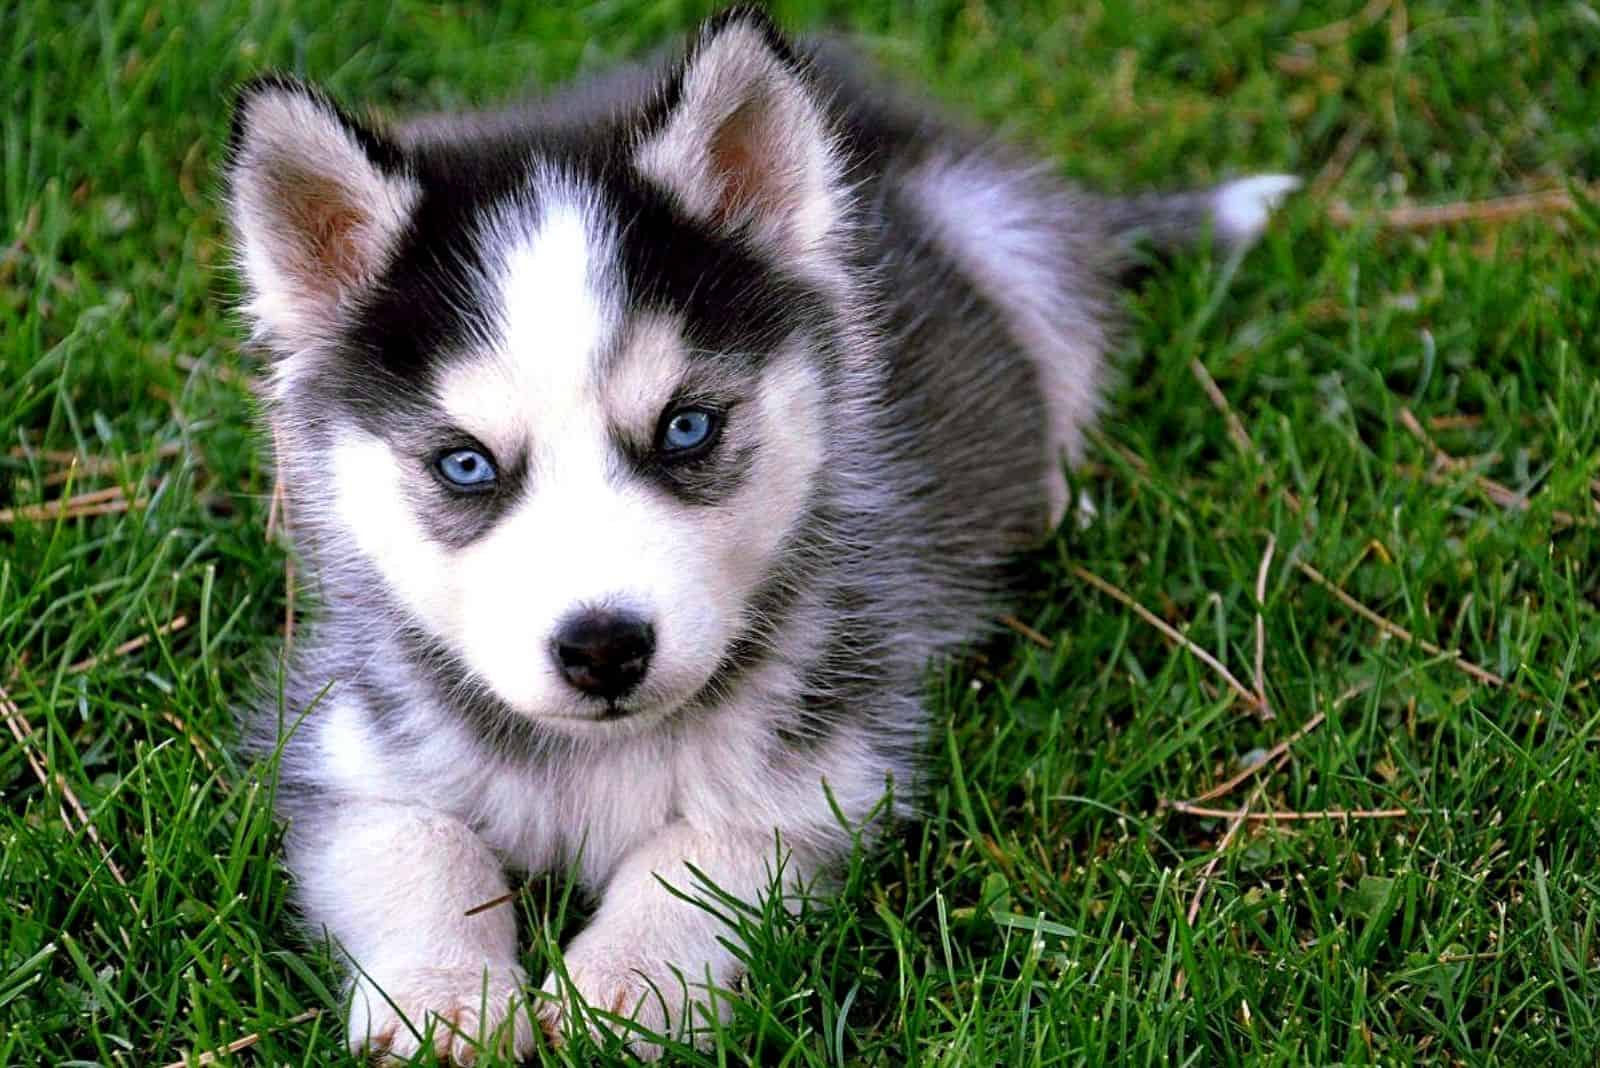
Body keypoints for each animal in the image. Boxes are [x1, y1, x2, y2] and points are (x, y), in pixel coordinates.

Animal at [228, 6, 1299, 1061]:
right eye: (465, 465)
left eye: (686, 427)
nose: (604, 649)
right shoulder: (346, 738)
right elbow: (417, 842)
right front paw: (441, 996)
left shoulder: (831, 761)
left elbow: (703, 851)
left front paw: (622, 988)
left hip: (1005, 238)